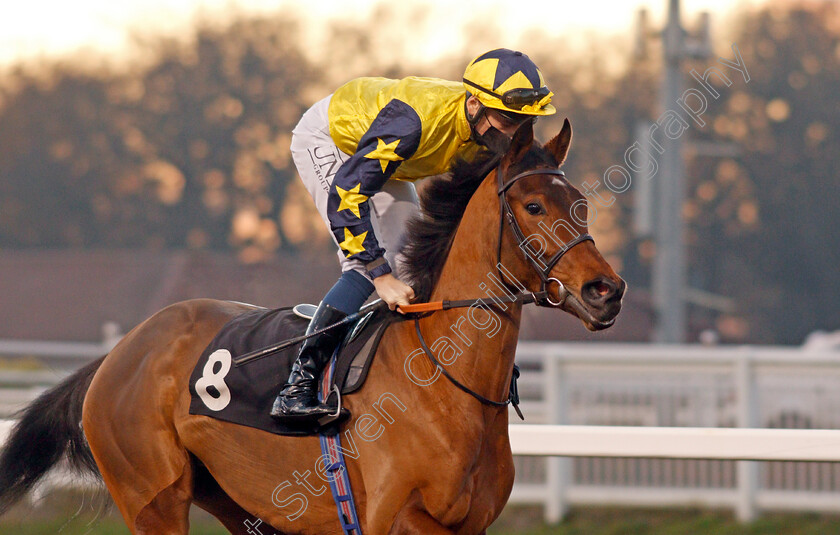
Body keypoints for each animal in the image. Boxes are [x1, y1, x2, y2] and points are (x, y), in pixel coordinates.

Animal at [0, 121, 624, 535]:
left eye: (581, 203)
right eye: (534, 206)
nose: (606, 291)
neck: (444, 383)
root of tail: (118, 354)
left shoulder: (471, 524)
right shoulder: (399, 519)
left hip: (245, 503)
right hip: (151, 497)